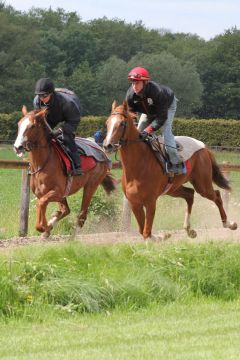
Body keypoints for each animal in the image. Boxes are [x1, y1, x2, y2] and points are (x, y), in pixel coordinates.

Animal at [13, 105, 116, 238]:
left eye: (32, 126)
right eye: (19, 124)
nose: (17, 147)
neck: (42, 164)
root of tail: (100, 150)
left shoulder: (57, 191)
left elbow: (41, 204)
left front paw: (44, 227)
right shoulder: (48, 193)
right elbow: (47, 206)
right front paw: (47, 227)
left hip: (91, 185)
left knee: (82, 214)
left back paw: (73, 236)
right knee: (66, 210)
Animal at [104, 100, 237, 239]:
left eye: (122, 123)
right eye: (107, 123)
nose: (107, 145)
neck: (137, 167)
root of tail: (204, 147)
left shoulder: (150, 201)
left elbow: (146, 232)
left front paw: (162, 236)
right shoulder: (135, 203)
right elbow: (143, 231)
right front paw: (162, 236)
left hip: (202, 185)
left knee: (216, 195)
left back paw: (229, 223)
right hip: (173, 188)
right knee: (190, 194)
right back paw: (189, 229)